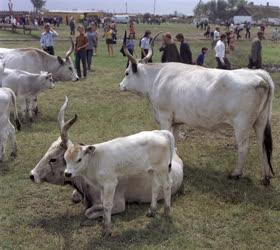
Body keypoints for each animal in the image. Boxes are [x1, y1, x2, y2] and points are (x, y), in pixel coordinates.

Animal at [119, 33, 274, 185]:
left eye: (127, 73)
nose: (120, 85)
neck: (156, 78)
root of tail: (259, 74)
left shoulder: (165, 117)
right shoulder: (176, 121)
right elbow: (174, 140)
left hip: (242, 124)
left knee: (244, 147)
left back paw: (236, 173)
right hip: (261, 121)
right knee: (262, 145)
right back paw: (265, 177)